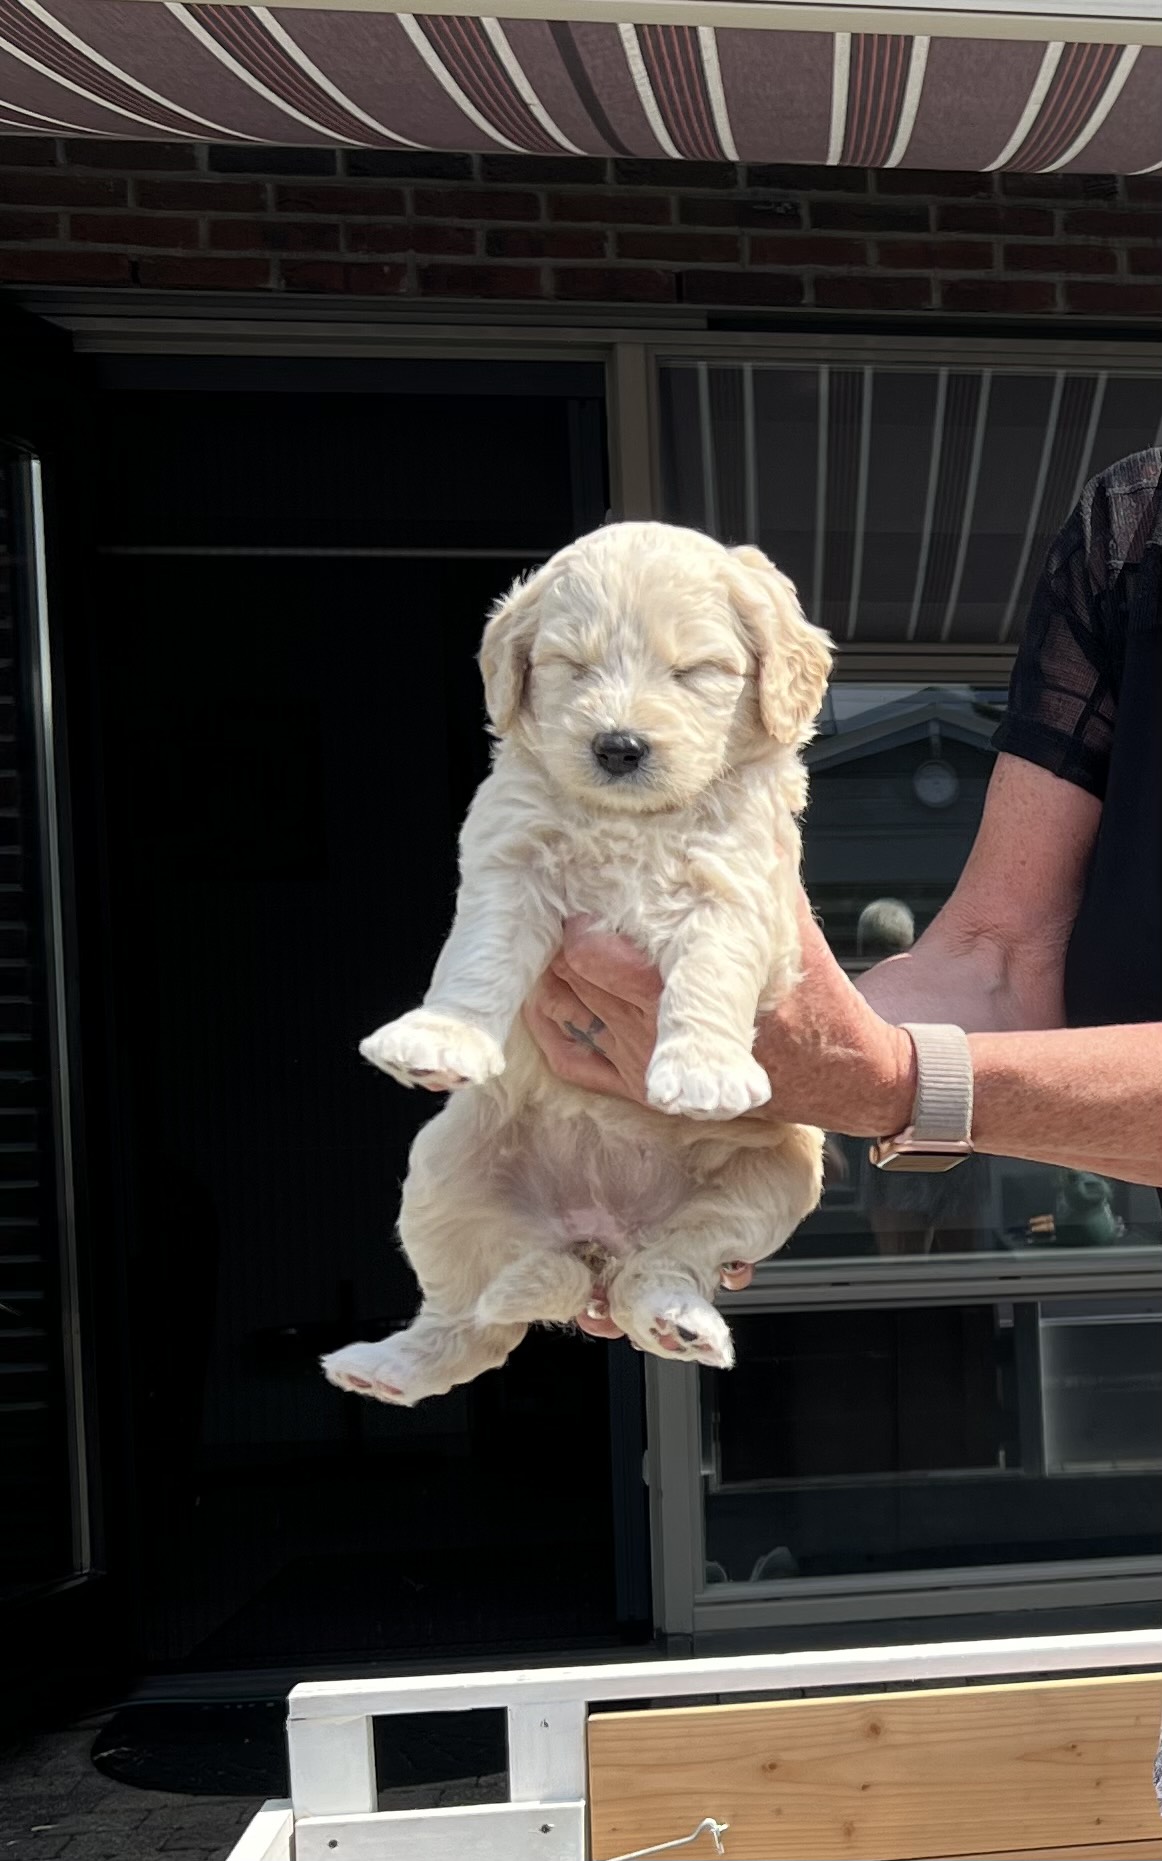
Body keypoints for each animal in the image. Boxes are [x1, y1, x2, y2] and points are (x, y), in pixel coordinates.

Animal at [327, 517, 830, 1399]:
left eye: (694, 671)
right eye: (573, 665)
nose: (618, 745)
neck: (633, 820)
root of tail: (596, 1241)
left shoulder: (741, 890)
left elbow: (712, 969)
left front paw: (702, 1067)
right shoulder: (510, 859)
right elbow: (480, 956)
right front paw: (441, 1033)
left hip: (773, 1179)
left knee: (672, 1261)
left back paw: (679, 1319)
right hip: (441, 1171)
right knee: (470, 1323)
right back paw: (389, 1366)